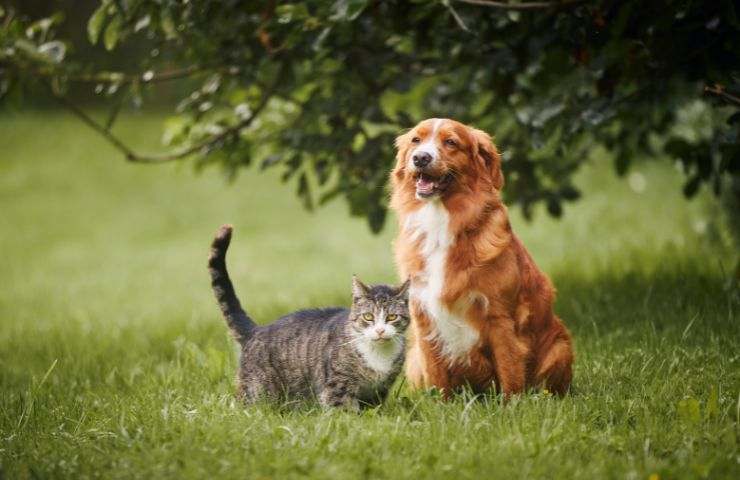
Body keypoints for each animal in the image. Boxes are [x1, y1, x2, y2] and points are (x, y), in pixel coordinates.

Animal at [207, 225, 410, 408]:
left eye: (392, 317)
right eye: (368, 316)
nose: (380, 330)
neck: (379, 356)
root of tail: (257, 330)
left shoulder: (379, 390)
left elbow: (373, 409)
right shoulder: (337, 386)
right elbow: (343, 411)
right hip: (258, 391)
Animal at [390, 118, 576, 396]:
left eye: (451, 142)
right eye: (416, 140)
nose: (420, 158)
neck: (441, 222)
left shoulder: (500, 316)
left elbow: (509, 371)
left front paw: (512, 405)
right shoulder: (423, 316)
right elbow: (436, 378)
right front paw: (440, 404)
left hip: (559, 347)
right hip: (413, 359)